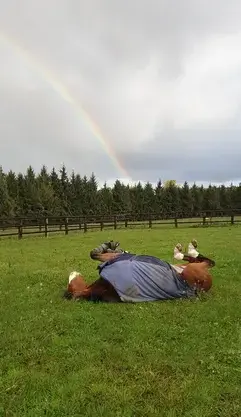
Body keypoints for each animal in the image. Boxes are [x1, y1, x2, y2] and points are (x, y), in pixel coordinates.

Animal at [63, 240, 215, 302]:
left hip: (189, 267)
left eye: (71, 284)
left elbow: (96, 253)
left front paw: (111, 246)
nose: (72, 273)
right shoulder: (114, 258)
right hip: (191, 270)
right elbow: (95, 254)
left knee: (204, 260)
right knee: (205, 261)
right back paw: (185, 250)